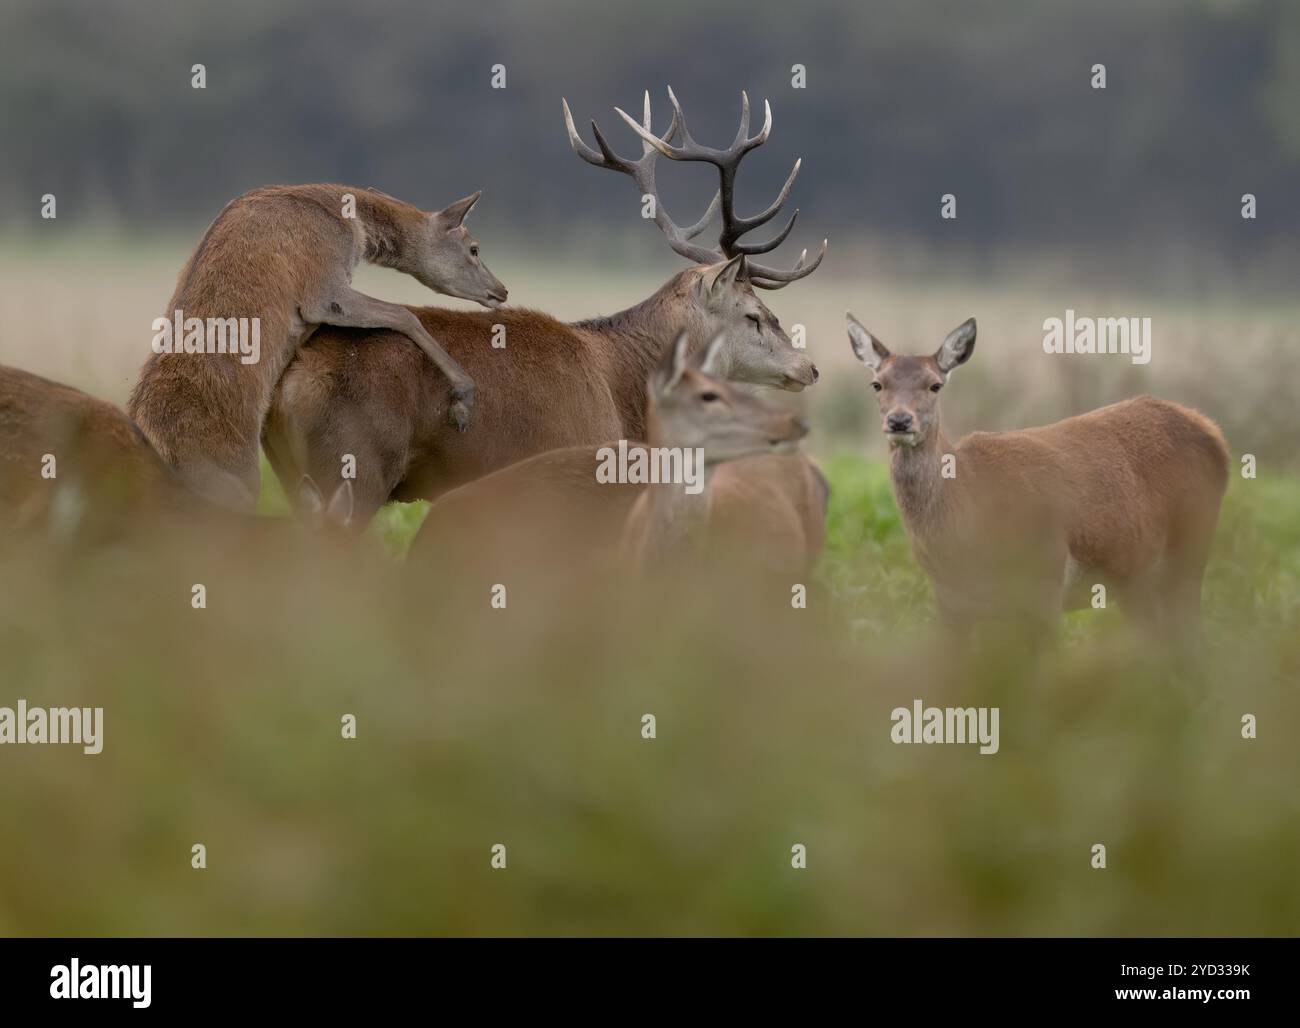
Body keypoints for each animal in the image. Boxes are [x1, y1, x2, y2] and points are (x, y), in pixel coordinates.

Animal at [127, 184, 508, 512]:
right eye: (474, 248)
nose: (501, 290)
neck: (354, 226)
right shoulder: (324, 291)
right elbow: (405, 314)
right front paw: (463, 400)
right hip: (235, 485)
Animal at [262, 89, 827, 530]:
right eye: (754, 313)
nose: (810, 367)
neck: (622, 391)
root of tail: (290, 383)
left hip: (294, 476)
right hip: (354, 467)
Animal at [844, 313, 1230, 641]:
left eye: (934, 385)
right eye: (877, 384)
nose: (899, 421)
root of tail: (1214, 434)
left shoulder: (1045, 577)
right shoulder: (951, 601)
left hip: (1191, 546)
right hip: (1138, 577)